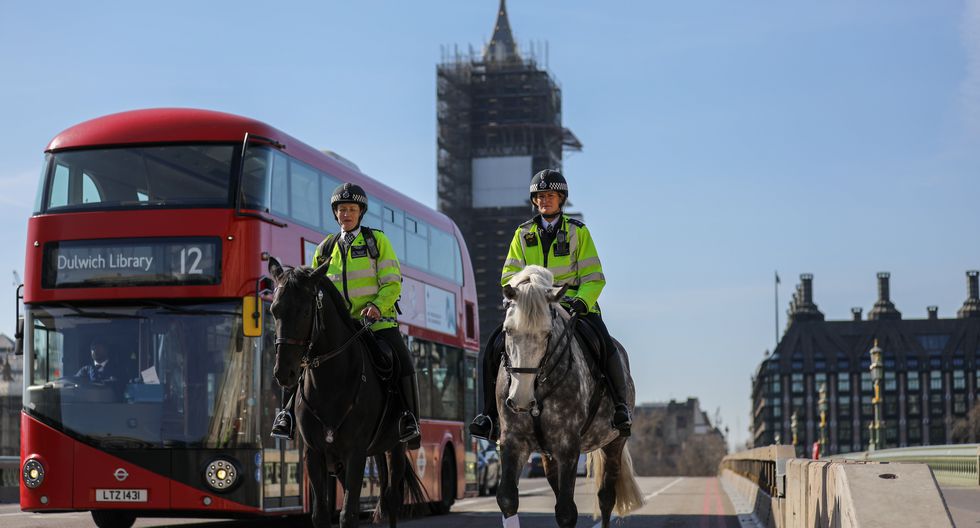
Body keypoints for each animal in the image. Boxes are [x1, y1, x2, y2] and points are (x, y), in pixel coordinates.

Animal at [268, 258, 424, 524]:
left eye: (306, 311)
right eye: (274, 310)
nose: (284, 373)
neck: (329, 384)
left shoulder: (355, 453)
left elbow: (348, 514)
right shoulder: (314, 454)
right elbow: (321, 514)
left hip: (395, 448)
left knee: (392, 499)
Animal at [498, 266, 644, 524]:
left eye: (547, 334)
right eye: (508, 330)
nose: (521, 400)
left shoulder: (568, 446)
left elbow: (566, 511)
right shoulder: (513, 441)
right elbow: (508, 499)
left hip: (614, 442)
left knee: (606, 497)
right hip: (547, 453)